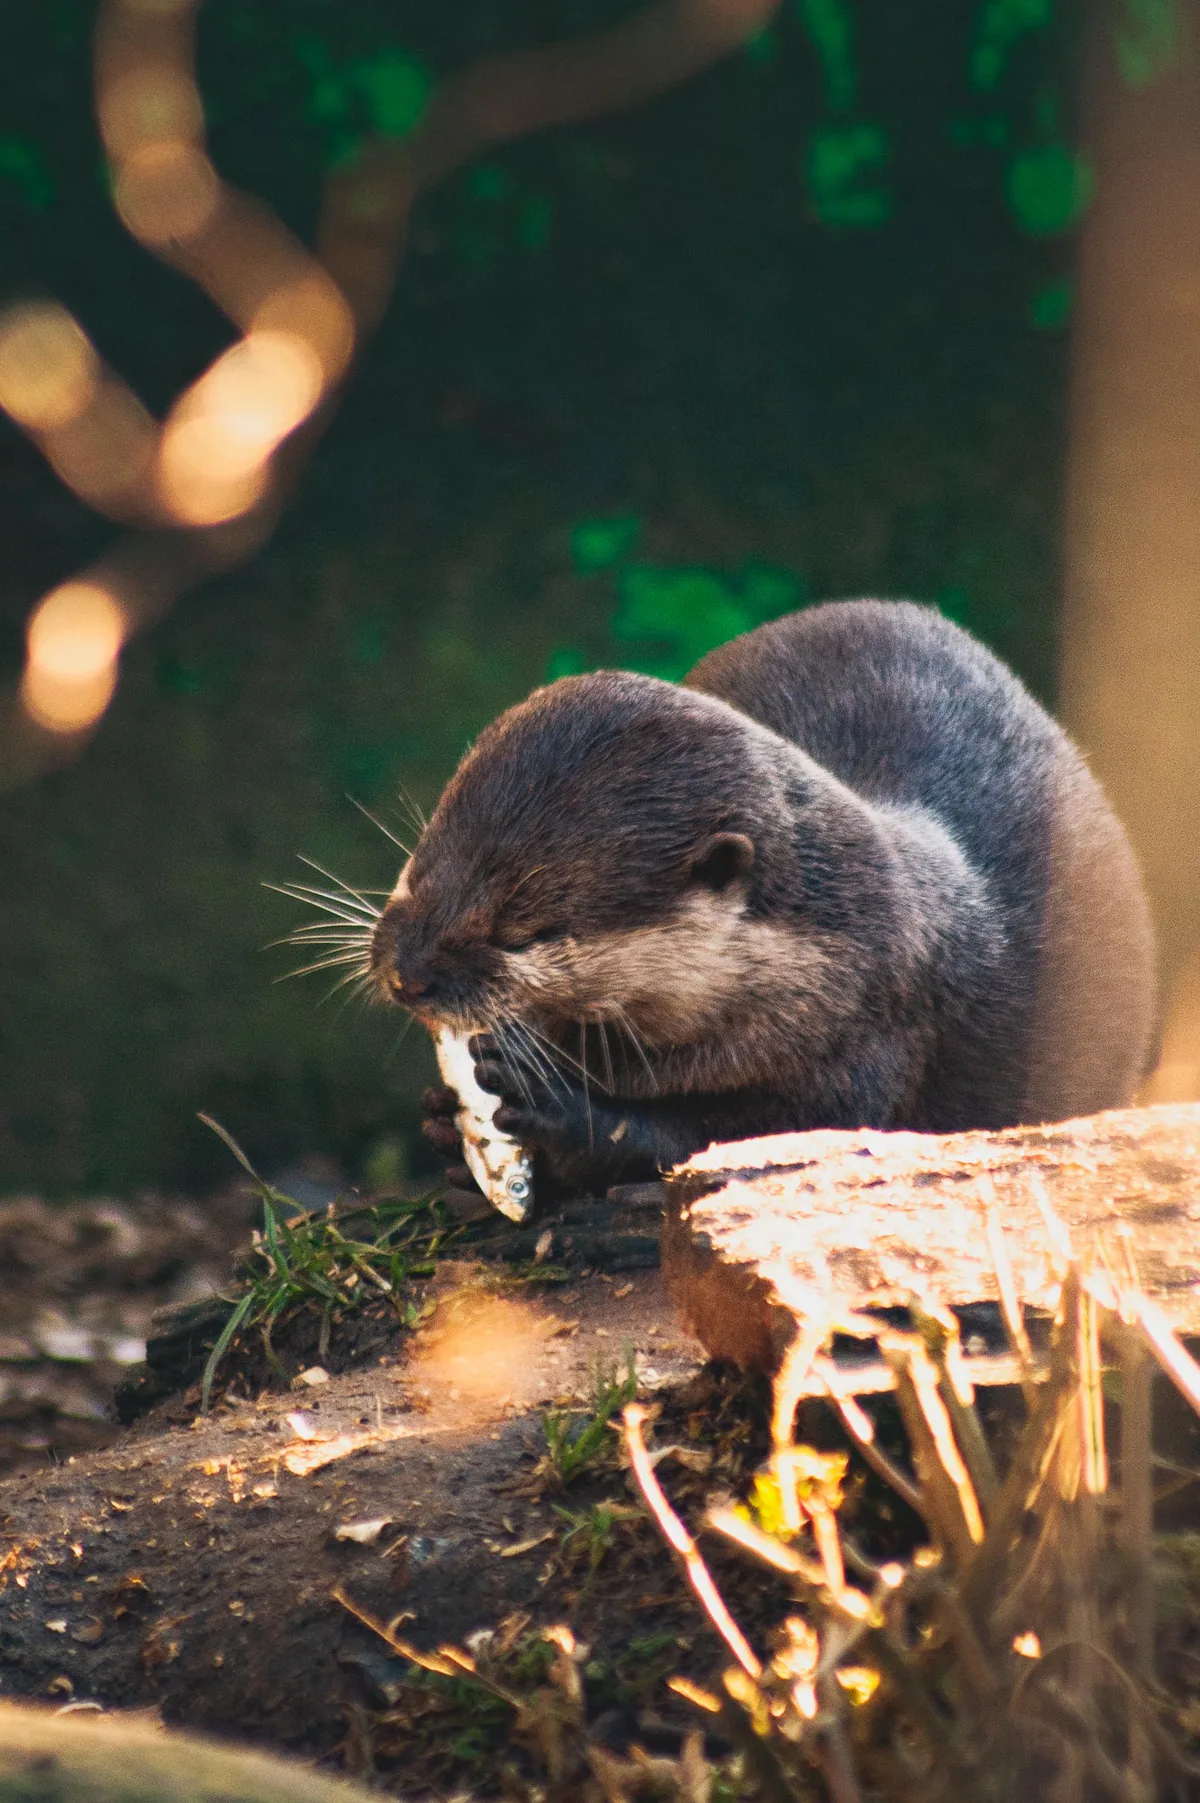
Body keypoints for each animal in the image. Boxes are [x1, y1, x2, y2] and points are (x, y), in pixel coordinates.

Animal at [368, 601, 1156, 1191]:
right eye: (422, 865)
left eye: (524, 931)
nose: (409, 974)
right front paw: (444, 1121)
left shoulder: (877, 1032)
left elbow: (740, 1135)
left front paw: (571, 1121)